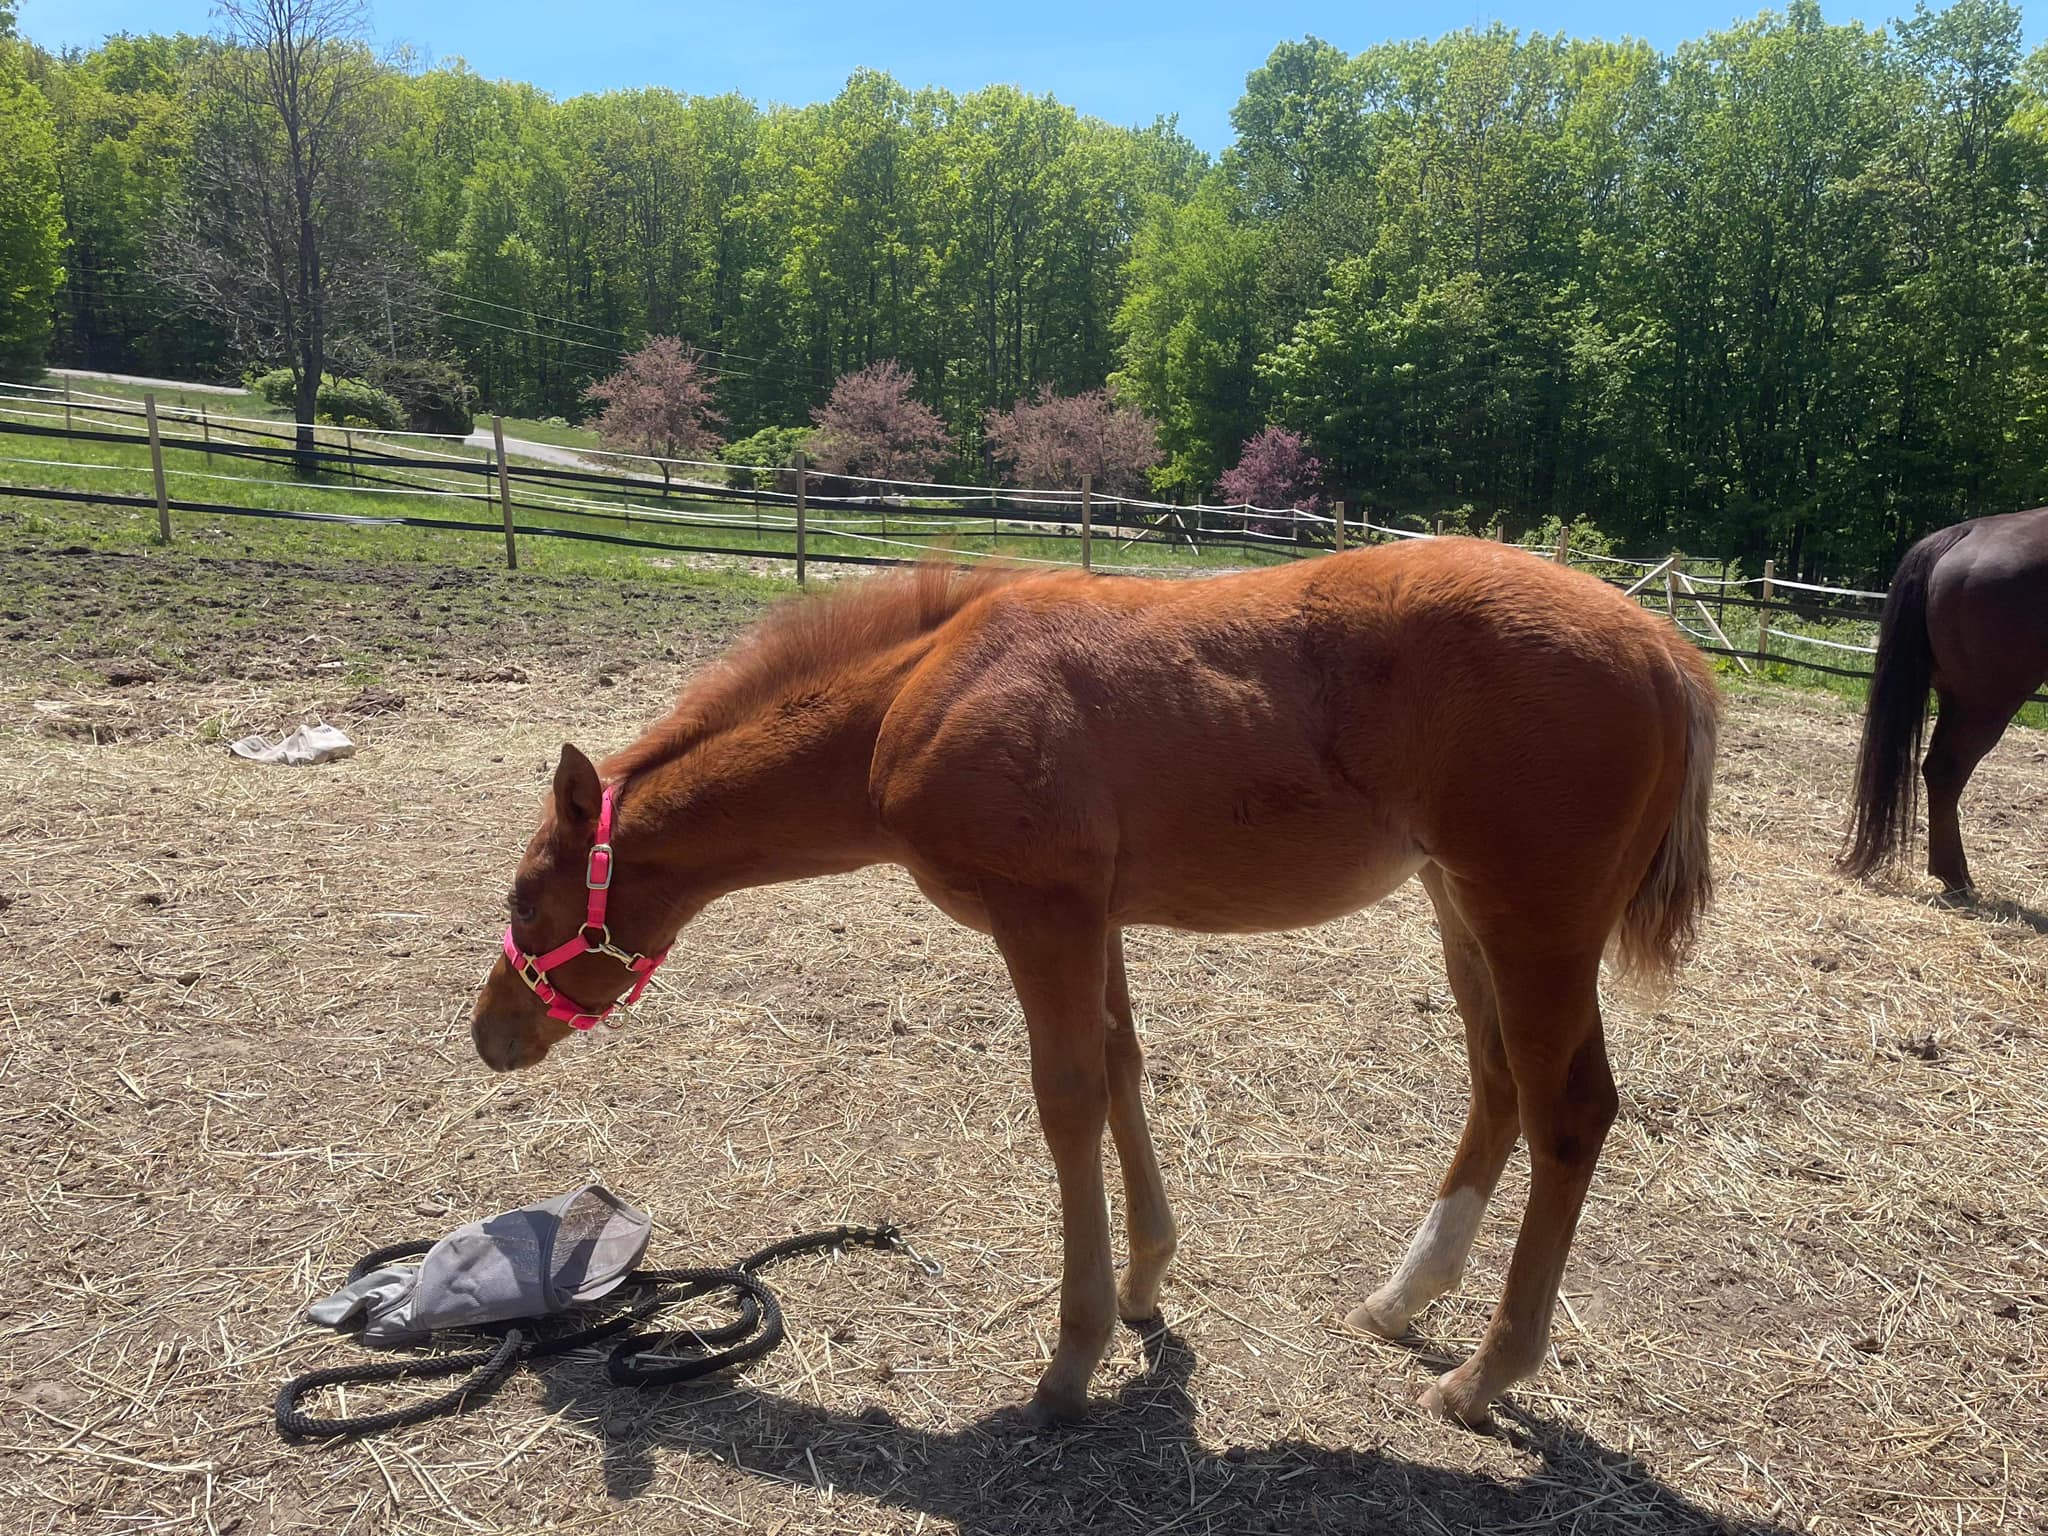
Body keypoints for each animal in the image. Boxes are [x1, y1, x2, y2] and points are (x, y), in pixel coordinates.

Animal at [468, 541, 1719, 1429]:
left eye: (527, 903)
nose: (490, 1035)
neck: (912, 698)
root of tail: (1666, 647)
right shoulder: (1095, 915)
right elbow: (1121, 1067)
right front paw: (1145, 1282)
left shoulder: (1042, 912)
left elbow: (1067, 1098)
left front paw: (1070, 1363)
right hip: (1459, 905)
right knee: (1498, 1082)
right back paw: (1398, 1301)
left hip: (1532, 920)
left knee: (1569, 1108)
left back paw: (1481, 1377)